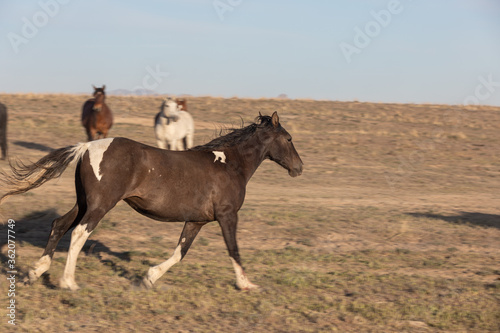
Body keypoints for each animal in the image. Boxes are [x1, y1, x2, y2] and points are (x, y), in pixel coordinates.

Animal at [0, 112, 302, 290]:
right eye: (288, 138)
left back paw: (35, 273)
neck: (231, 165)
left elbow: (180, 253)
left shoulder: (197, 220)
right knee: (78, 233)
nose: (299, 168)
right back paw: (68, 283)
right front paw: (246, 284)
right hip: (100, 205)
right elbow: (233, 249)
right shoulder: (228, 216)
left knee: (59, 225)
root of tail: (86, 147)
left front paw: (148, 278)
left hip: (84, 202)